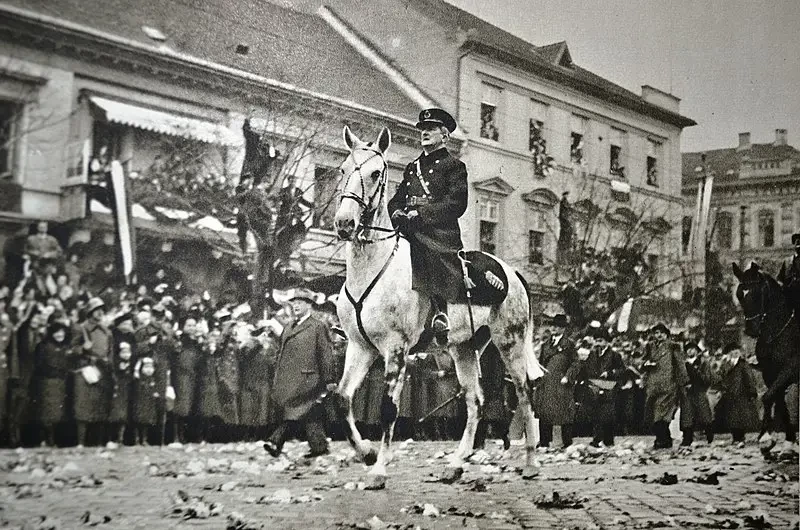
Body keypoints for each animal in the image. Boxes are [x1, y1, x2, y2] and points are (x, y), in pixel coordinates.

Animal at [331, 126, 543, 484]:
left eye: (375, 173)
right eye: (343, 169)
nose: (344, 223)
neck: (372, 268)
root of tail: (511, 272)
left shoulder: (396, 348)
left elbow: (388, 409)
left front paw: (379, 469)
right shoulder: (360, 347)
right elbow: (342, 399)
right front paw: (367, 453)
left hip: (510, 343)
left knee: (524, 392)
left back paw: (529, 462)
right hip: (465, 347)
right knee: (476, 400)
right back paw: (456, 463)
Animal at [732, 262, 799, 448]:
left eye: (757, 294)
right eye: (739, 295)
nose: (751, 330)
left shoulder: (790, 369)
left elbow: (768, 397)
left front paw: (765, 437)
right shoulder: (770, 373)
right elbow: (777, 400)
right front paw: (788, 439)